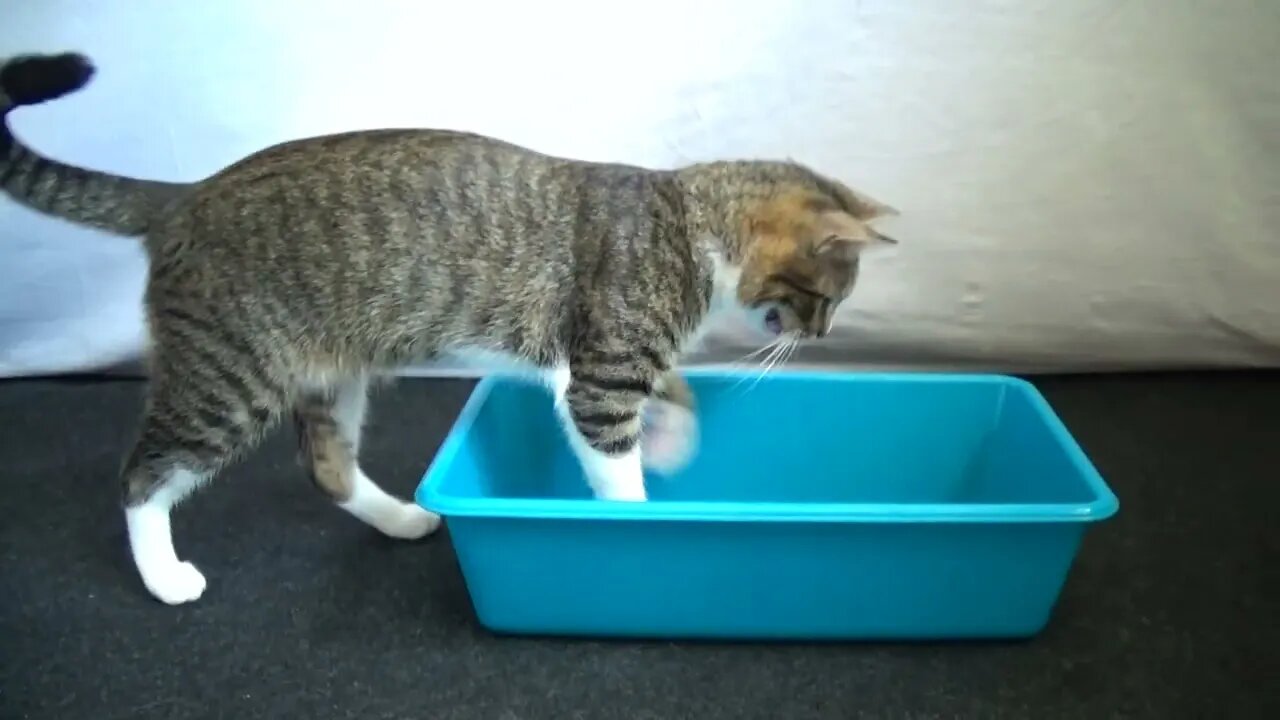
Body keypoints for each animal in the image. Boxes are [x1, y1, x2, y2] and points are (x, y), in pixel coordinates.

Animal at [0, 53, 896, 602]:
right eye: (826, 298)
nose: (822, 336)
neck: (684, 222)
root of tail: (182, 195)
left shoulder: (605, 365)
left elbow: (678, 397)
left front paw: (675, 440)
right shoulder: (601, 378)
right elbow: (617, 466)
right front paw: (640, 511)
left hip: (331, 373)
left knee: (327, 468)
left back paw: (400, 518)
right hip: (229, 378)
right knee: (142, 475)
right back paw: (164, 573)